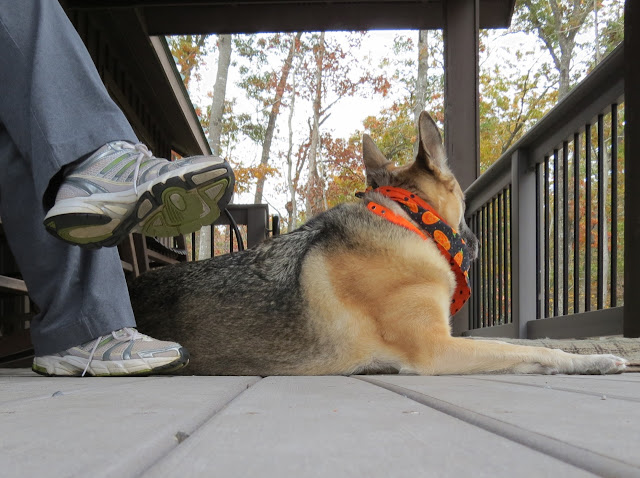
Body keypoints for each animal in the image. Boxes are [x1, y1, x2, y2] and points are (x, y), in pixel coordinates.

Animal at [127, 113, 628, 378]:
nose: (478, 242)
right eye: (465, 205)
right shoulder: (435, 350)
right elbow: (528, 349)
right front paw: (596, 359)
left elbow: (519, 353)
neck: (411, 223)